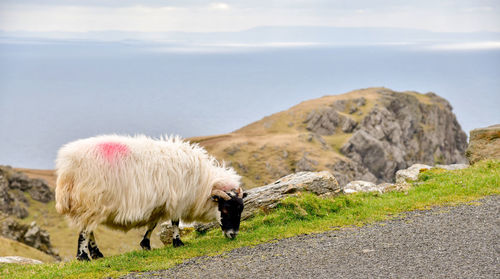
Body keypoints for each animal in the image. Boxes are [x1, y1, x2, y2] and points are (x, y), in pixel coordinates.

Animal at [54, 135, 246, 262]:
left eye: (241, 209)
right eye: (226, 208)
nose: (233, 235)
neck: (202, 183)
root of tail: (67, 167)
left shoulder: (160, 204)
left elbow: (153, 224)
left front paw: (145, 244)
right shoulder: (176, 200)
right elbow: (175, 221)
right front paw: (178, 242)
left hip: (91, 205)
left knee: (89, 228)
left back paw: (96, 254)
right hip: (90, 200)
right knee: (85, 230)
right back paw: (83, 256)